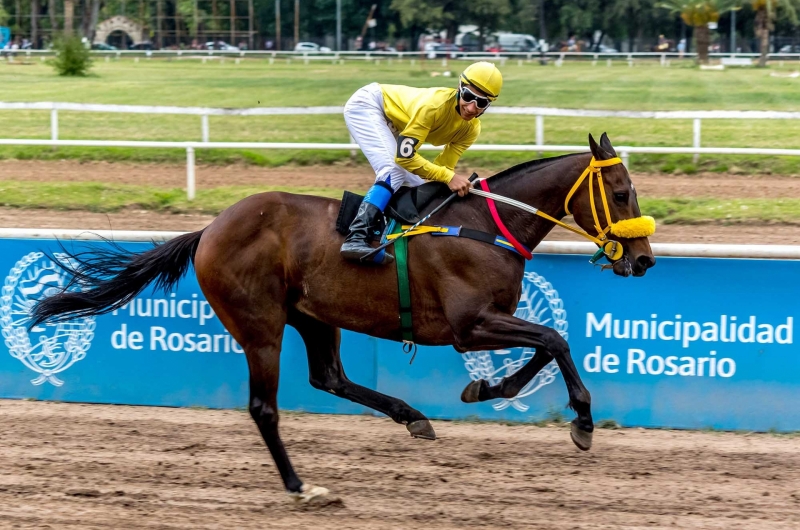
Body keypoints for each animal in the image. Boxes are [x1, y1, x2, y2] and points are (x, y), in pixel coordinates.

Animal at [31, 132, 656, 500]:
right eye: (621, 191)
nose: (645, 260)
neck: (482, 225)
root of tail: (210, 228)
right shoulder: (467, 325)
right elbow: (554, 339)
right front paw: (582, 421)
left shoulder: (488, 319)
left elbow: (546, 344)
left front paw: (489, 388)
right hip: (259, 325)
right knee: (265, 406)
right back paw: (300, 485)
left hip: (313, 315)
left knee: (329, 377)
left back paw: (411, 416)